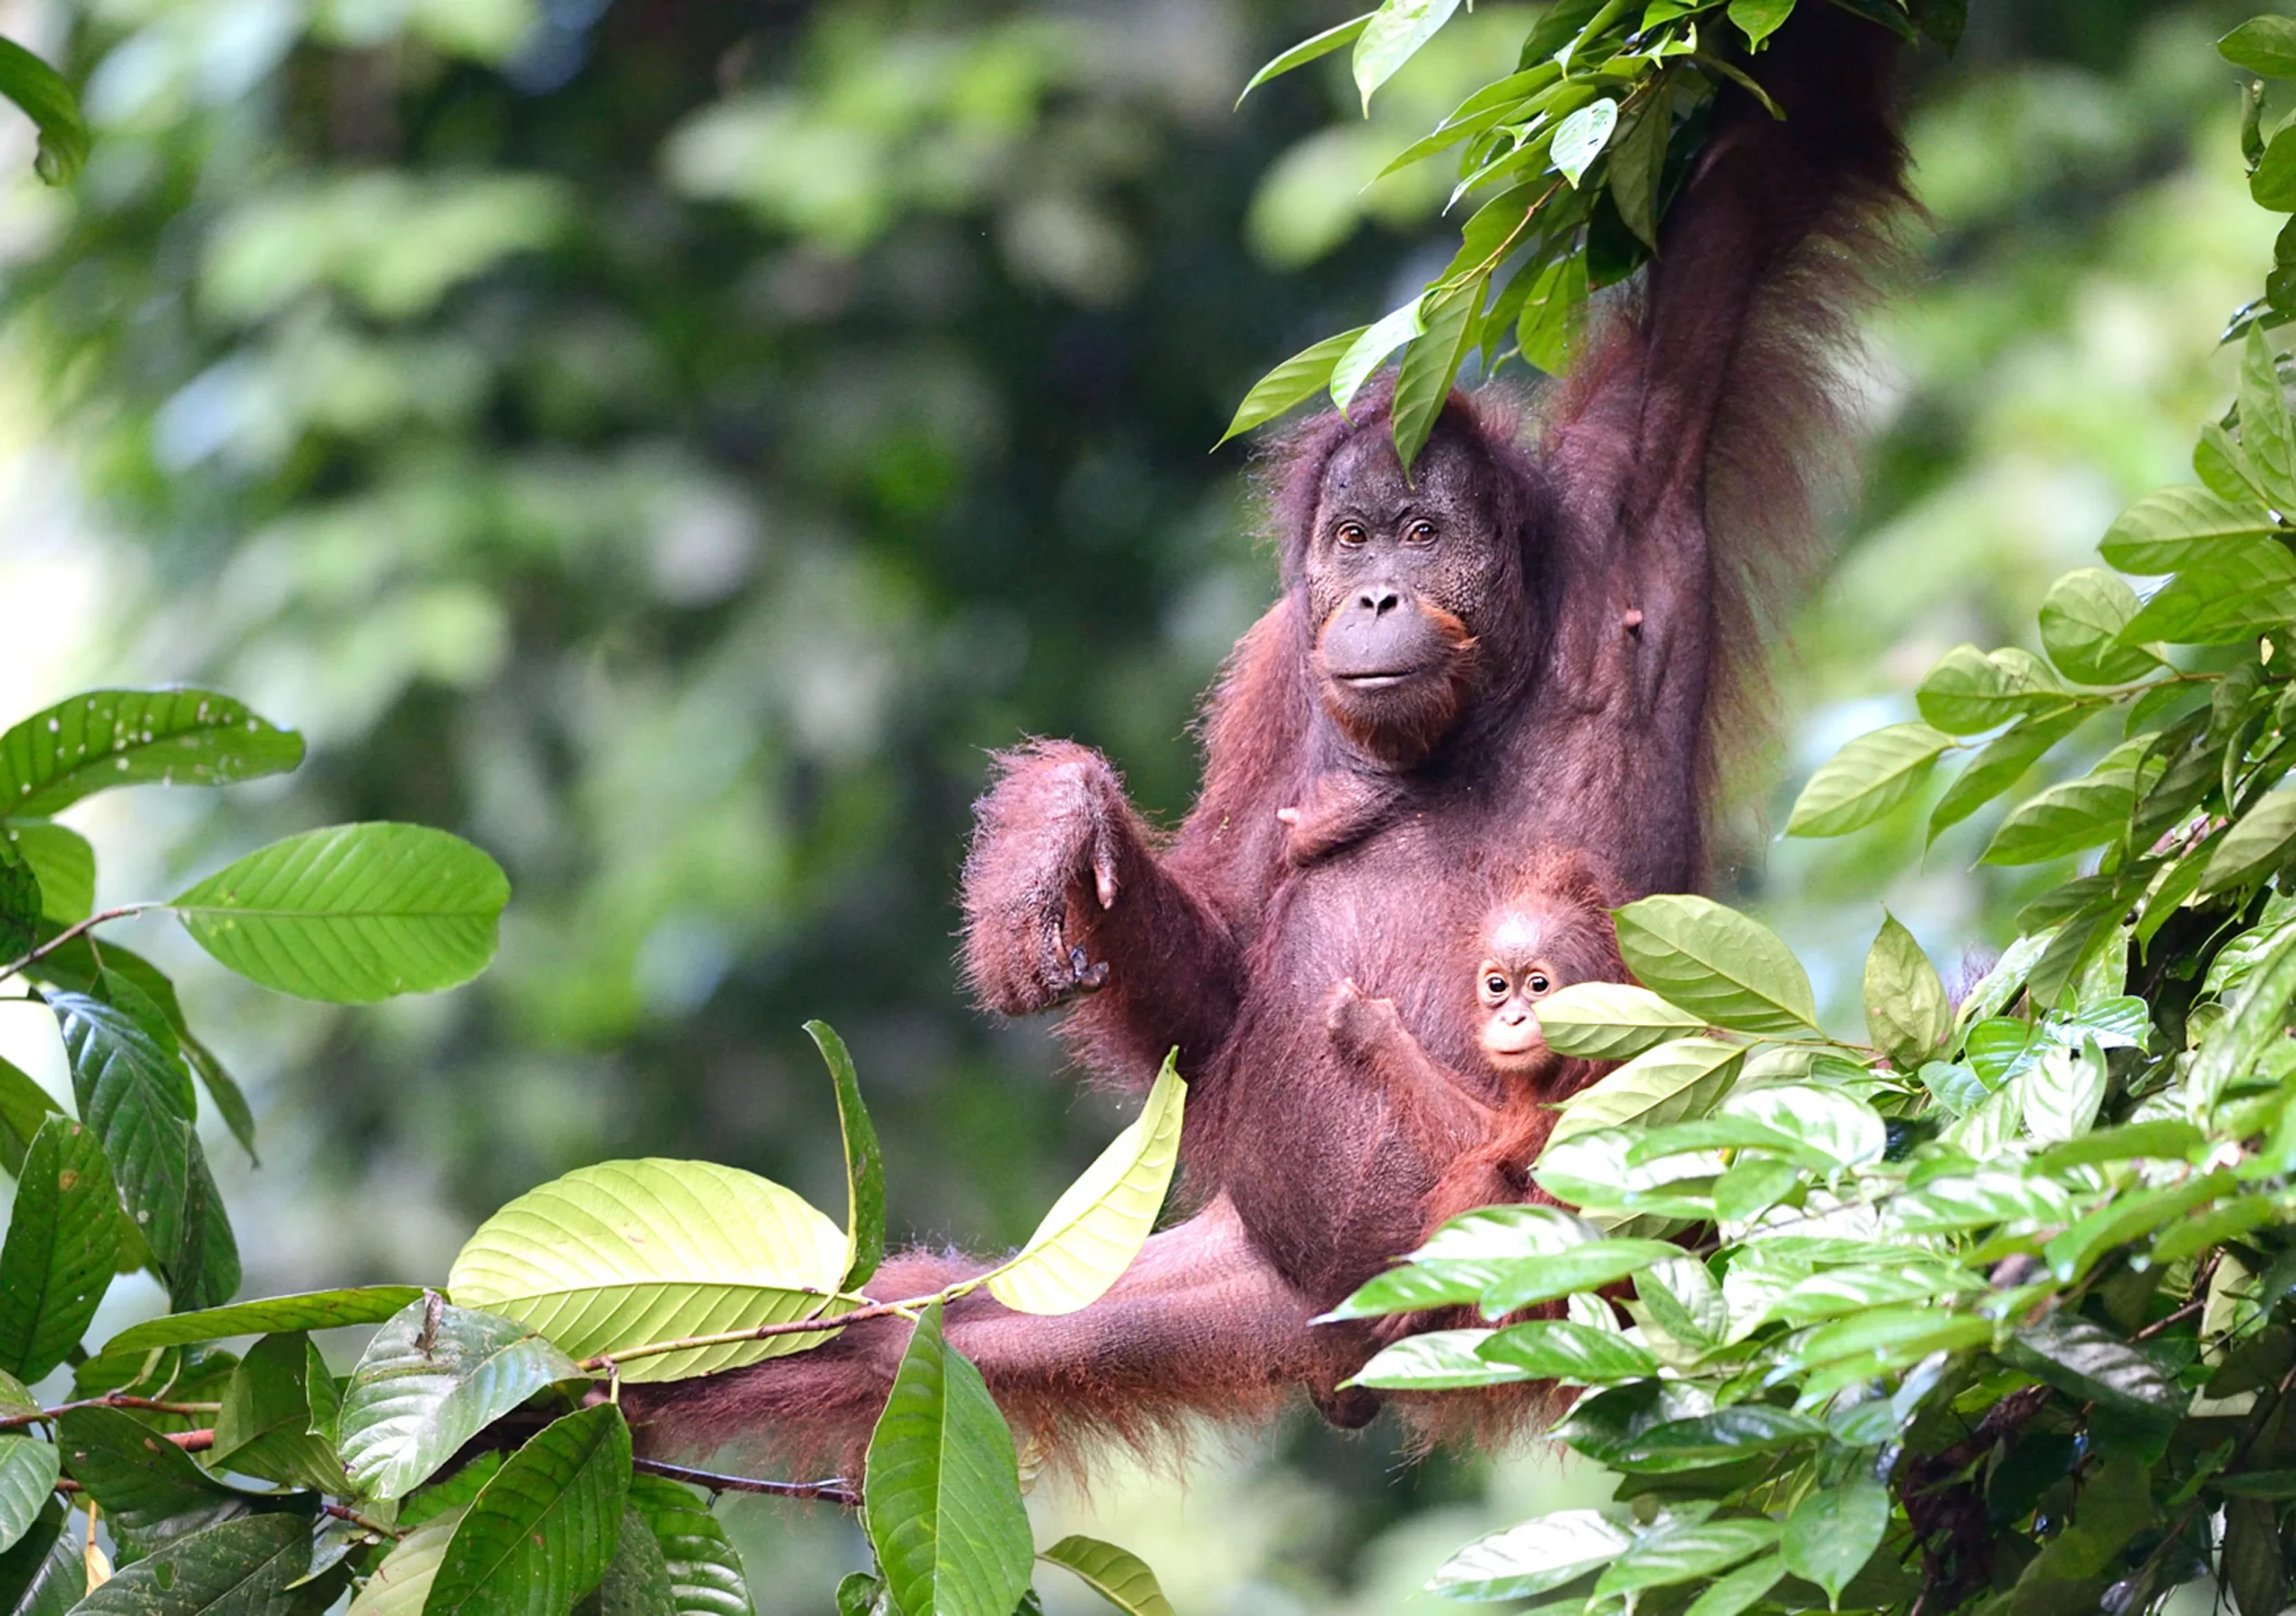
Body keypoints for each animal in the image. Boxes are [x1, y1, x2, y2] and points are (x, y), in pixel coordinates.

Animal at [625, 10, 1910, 1479]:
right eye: (1350, 539)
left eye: (1422, 533)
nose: (1373, 598)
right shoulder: (1263, 683)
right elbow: (1223, 975)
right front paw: (1057, 831)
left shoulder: (1642, 468)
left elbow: (1769, 182)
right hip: (1269, 1278)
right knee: (899, 1339)